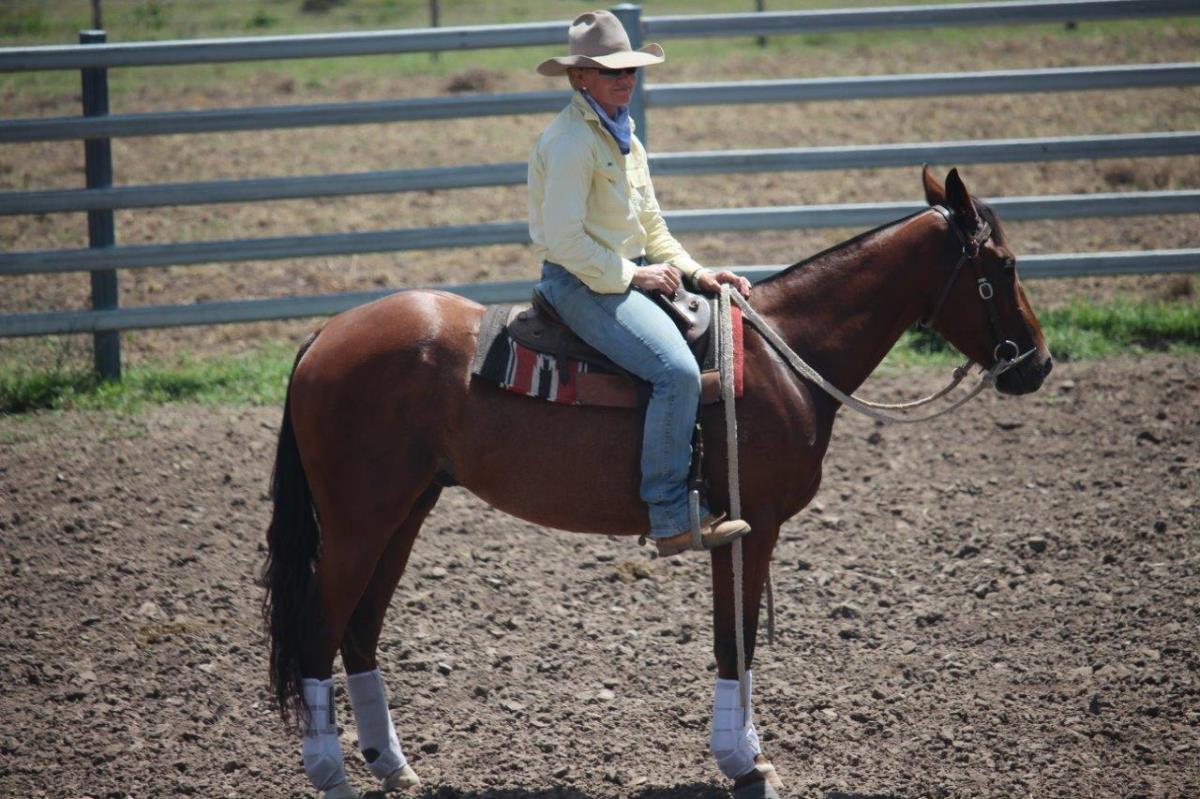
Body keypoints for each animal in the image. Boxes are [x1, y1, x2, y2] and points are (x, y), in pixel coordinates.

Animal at [262, 167, 1052, 799]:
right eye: (1004, 263)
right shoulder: (751, 525)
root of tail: (324, 336)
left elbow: (738, 641)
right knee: (319, 630)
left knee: (359, 631)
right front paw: (744, 764)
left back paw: (393, 765)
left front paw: (748, 753)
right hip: (359, 523)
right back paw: (330, 774)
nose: (1038, 364)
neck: (783, 361)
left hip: (405, 511)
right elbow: (735, 642)